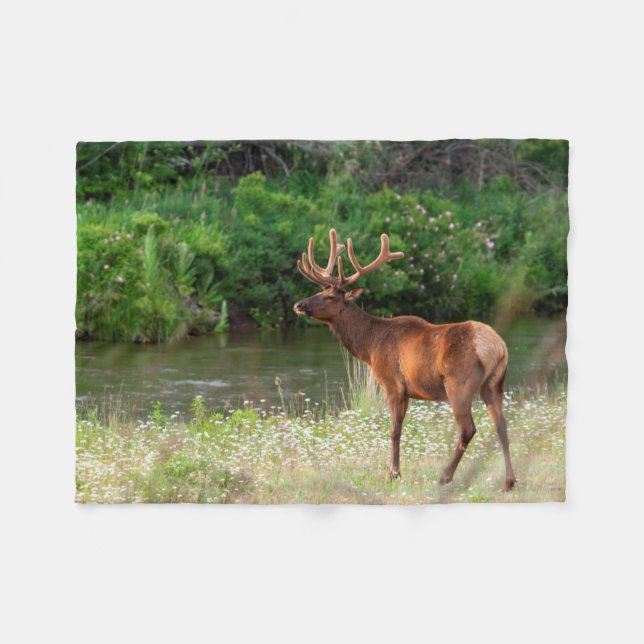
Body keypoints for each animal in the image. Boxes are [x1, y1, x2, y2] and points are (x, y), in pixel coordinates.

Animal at [293, 229, 516, 491]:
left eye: (330, 297)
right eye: (319, 291)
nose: (299, 304)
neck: (370, 346)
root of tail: (497, 347)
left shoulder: (392, 383)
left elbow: (394, 430)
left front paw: (393, 473)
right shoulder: (408, 391)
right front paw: (395, 471)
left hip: (459, 384)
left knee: (467, 429)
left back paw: (445, 476)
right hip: (495, 383)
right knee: (502, 426)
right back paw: (509, 481)